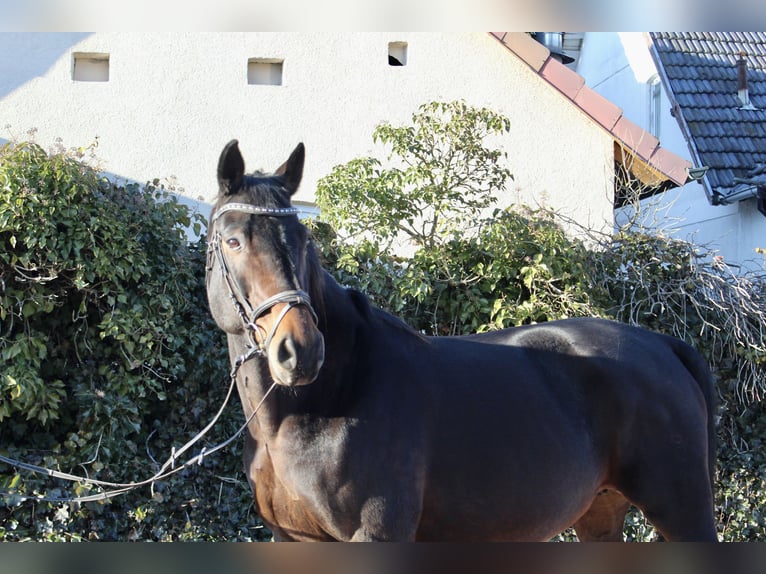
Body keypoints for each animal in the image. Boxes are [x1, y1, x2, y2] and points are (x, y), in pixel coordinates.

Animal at [205, 140, 718, 542]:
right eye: (232, 241)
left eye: (304, 238)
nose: (301, 350)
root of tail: (662, 346)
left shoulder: (376, 533)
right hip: (601, 512)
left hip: (683, 511)